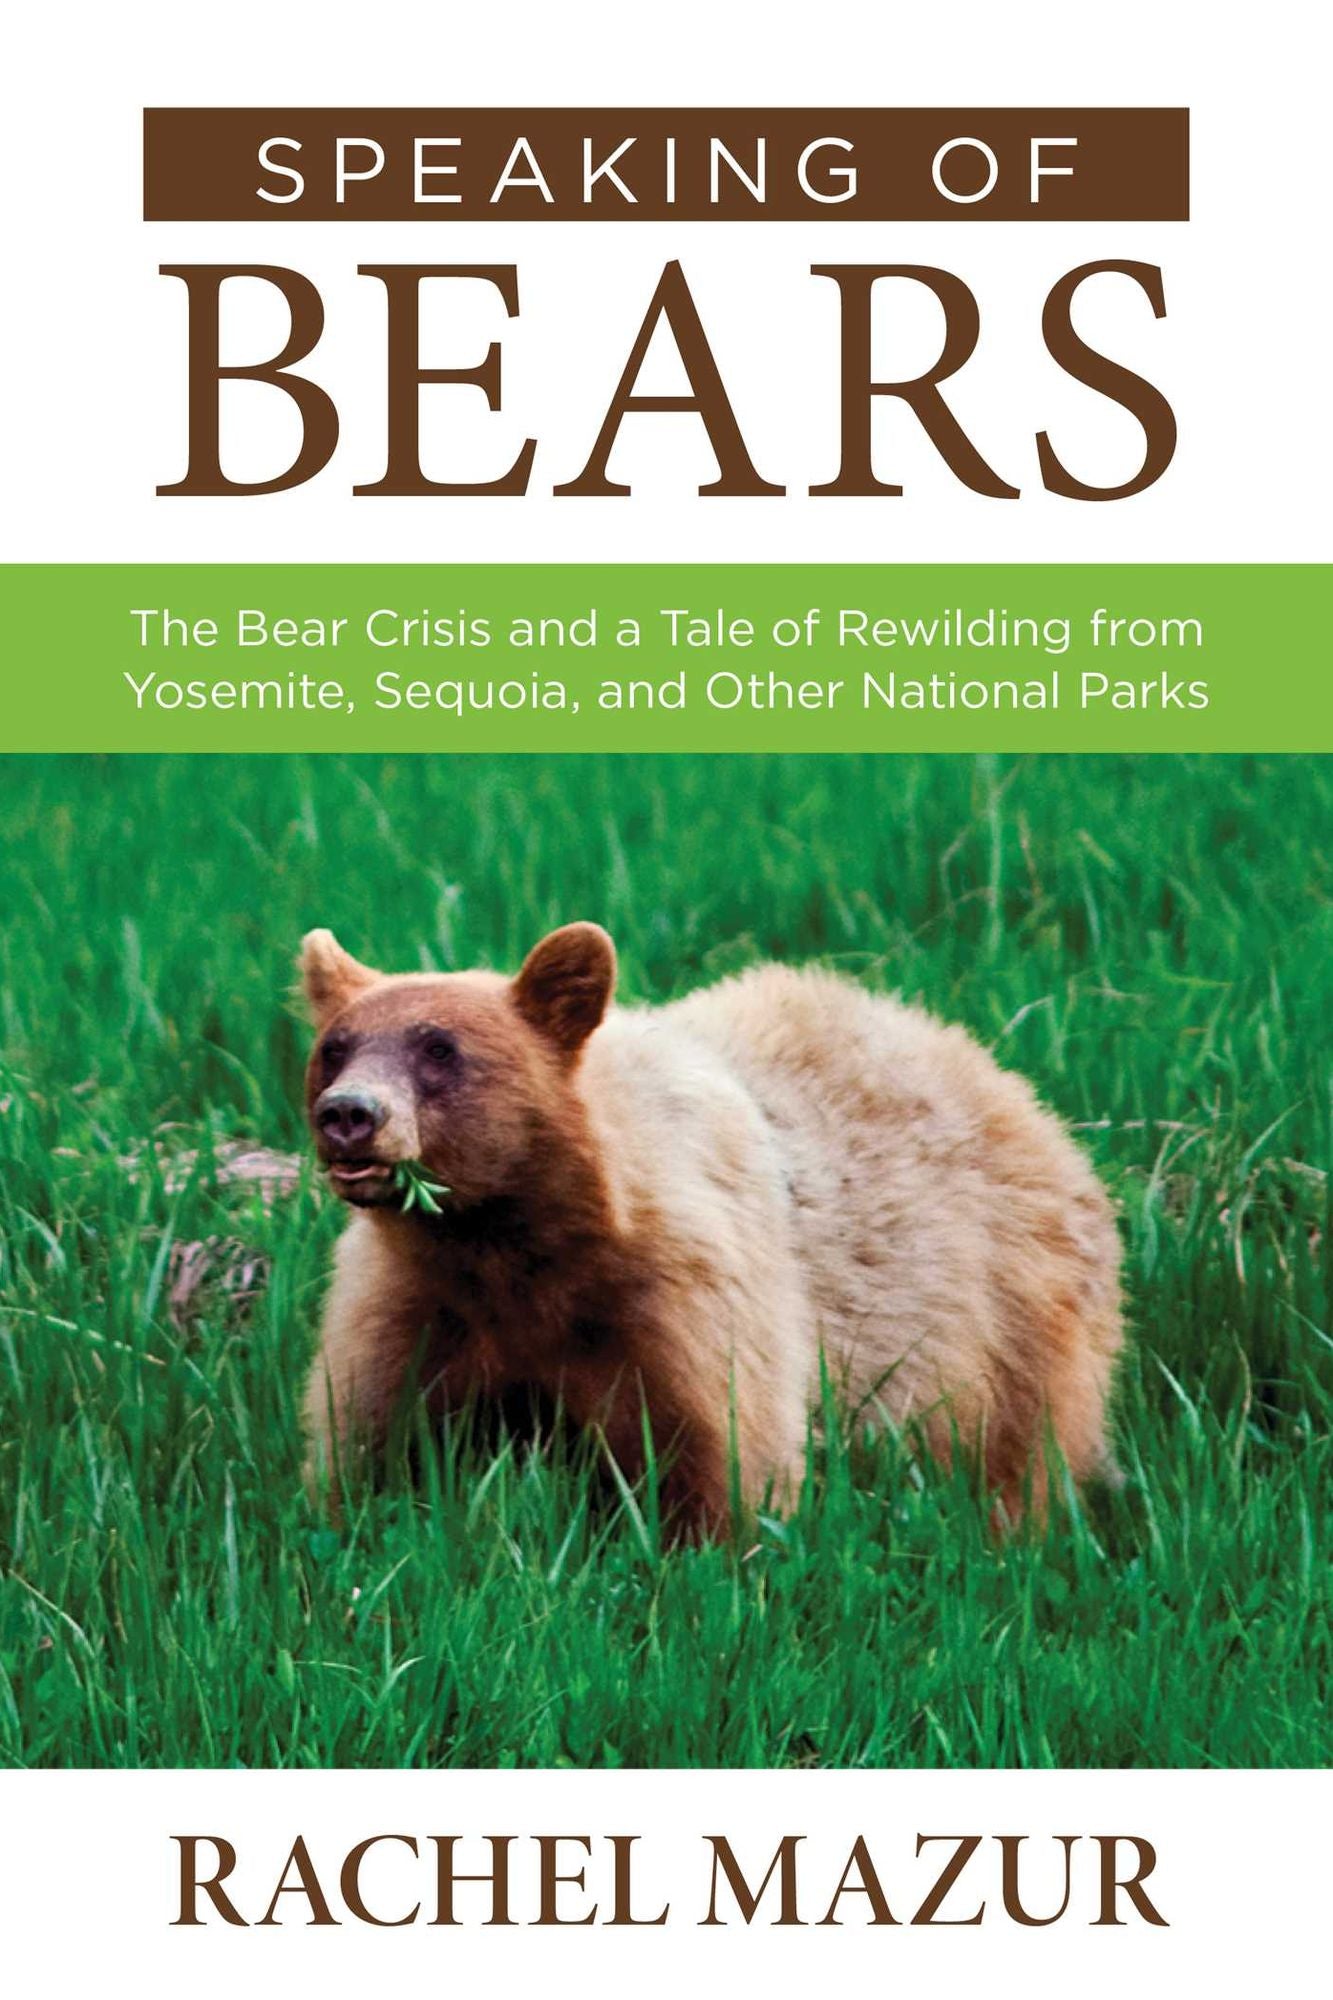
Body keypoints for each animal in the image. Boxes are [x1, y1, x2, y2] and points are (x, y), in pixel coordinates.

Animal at [299, 922, 1123, 1532]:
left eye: (440, 1048)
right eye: (334, 1047)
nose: (350, 1114)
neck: (514, 1245)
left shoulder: (682, 1301)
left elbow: (721, 1454)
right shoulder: (411, 1304)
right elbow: (369, 1443)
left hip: (1012, 1327)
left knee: (1016, 1461)